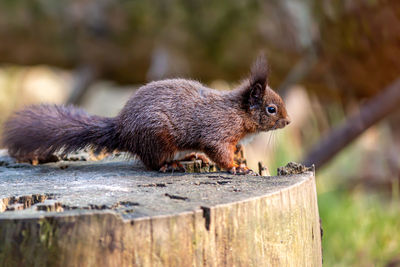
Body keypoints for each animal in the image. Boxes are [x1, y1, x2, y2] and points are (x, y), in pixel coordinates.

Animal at [2, 55, 290, 175]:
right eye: (271, 109)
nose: (288, 121)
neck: (237, 112)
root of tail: (121, 129)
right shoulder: (217, 131)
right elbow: (219, 152)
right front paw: (236, 168)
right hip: (157, 137)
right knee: (152, 162)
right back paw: (170, 165)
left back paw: (190, 157)